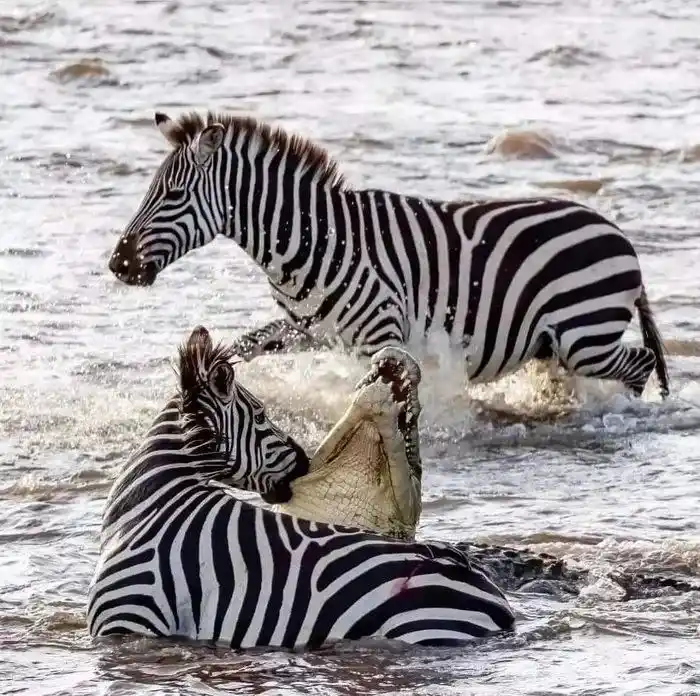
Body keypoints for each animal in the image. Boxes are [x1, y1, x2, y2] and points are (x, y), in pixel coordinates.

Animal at [108, 111, 669, 398]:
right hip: (556, 344)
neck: (310, 239)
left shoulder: (382, 333)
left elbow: (377, 387)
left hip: (584, 334)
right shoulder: (307, 329)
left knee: (639, 365)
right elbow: (242, 347)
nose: (118, 264)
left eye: (172, 196)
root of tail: (621, 237)